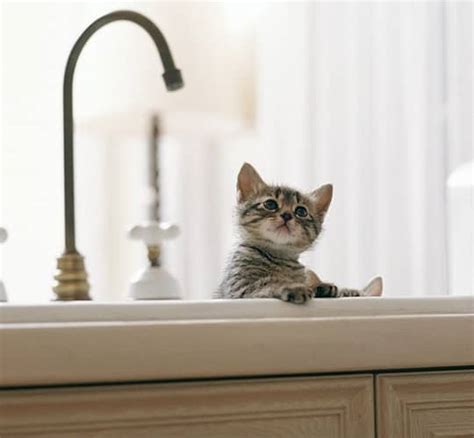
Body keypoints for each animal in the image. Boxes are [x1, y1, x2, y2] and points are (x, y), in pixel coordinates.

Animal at [217, 163, 384, 302]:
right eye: (270, 204)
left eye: (301, 211)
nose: (286, 215)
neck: (279, 257)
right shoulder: (239, 287)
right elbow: (268, 284)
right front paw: (293, 287)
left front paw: (320, 288)